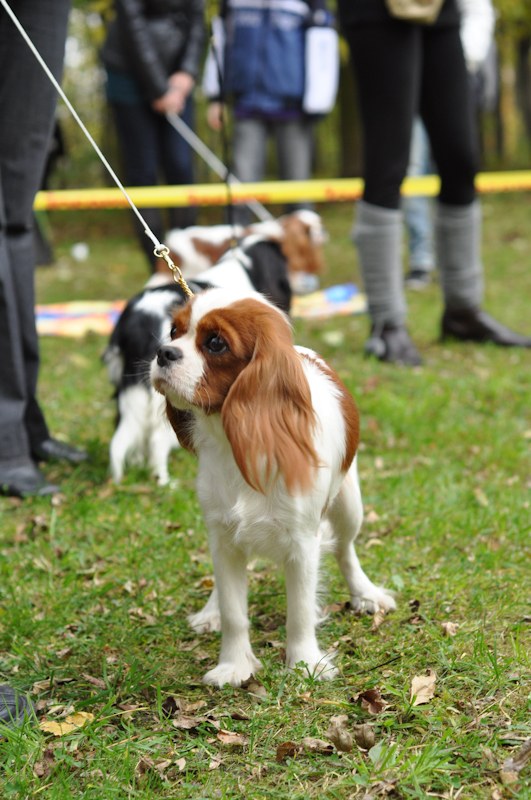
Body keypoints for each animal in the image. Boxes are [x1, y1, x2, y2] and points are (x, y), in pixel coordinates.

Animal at [150, 287, 396, 687]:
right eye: (174, 331)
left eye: (215, 343)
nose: (163, 352)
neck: (237, 439)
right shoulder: (223, 535)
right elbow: (234, 612)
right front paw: (234, 666)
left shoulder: (302, 542)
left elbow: (300, 611)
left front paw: (305, 663)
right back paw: (210, 611)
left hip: (349, 506)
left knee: (345, 549)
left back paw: (366, 593)